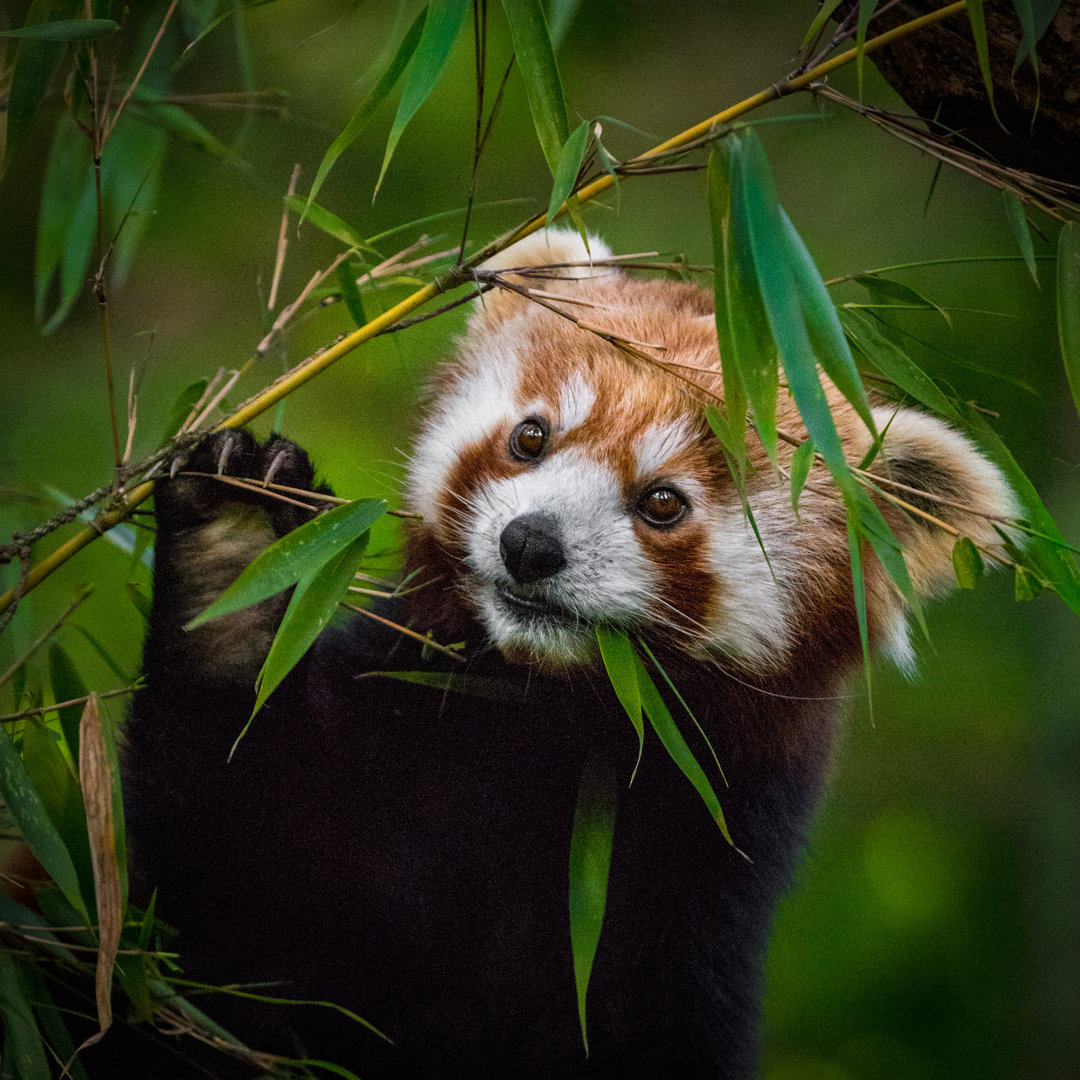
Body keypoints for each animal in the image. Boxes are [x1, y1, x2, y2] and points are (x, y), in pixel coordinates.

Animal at [99, 227, 1010, 1080]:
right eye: (531, 438)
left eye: (663, 502)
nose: (530, 544)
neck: (533, 719)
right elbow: (232, 868)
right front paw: (231, 550)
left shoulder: (691, 879)